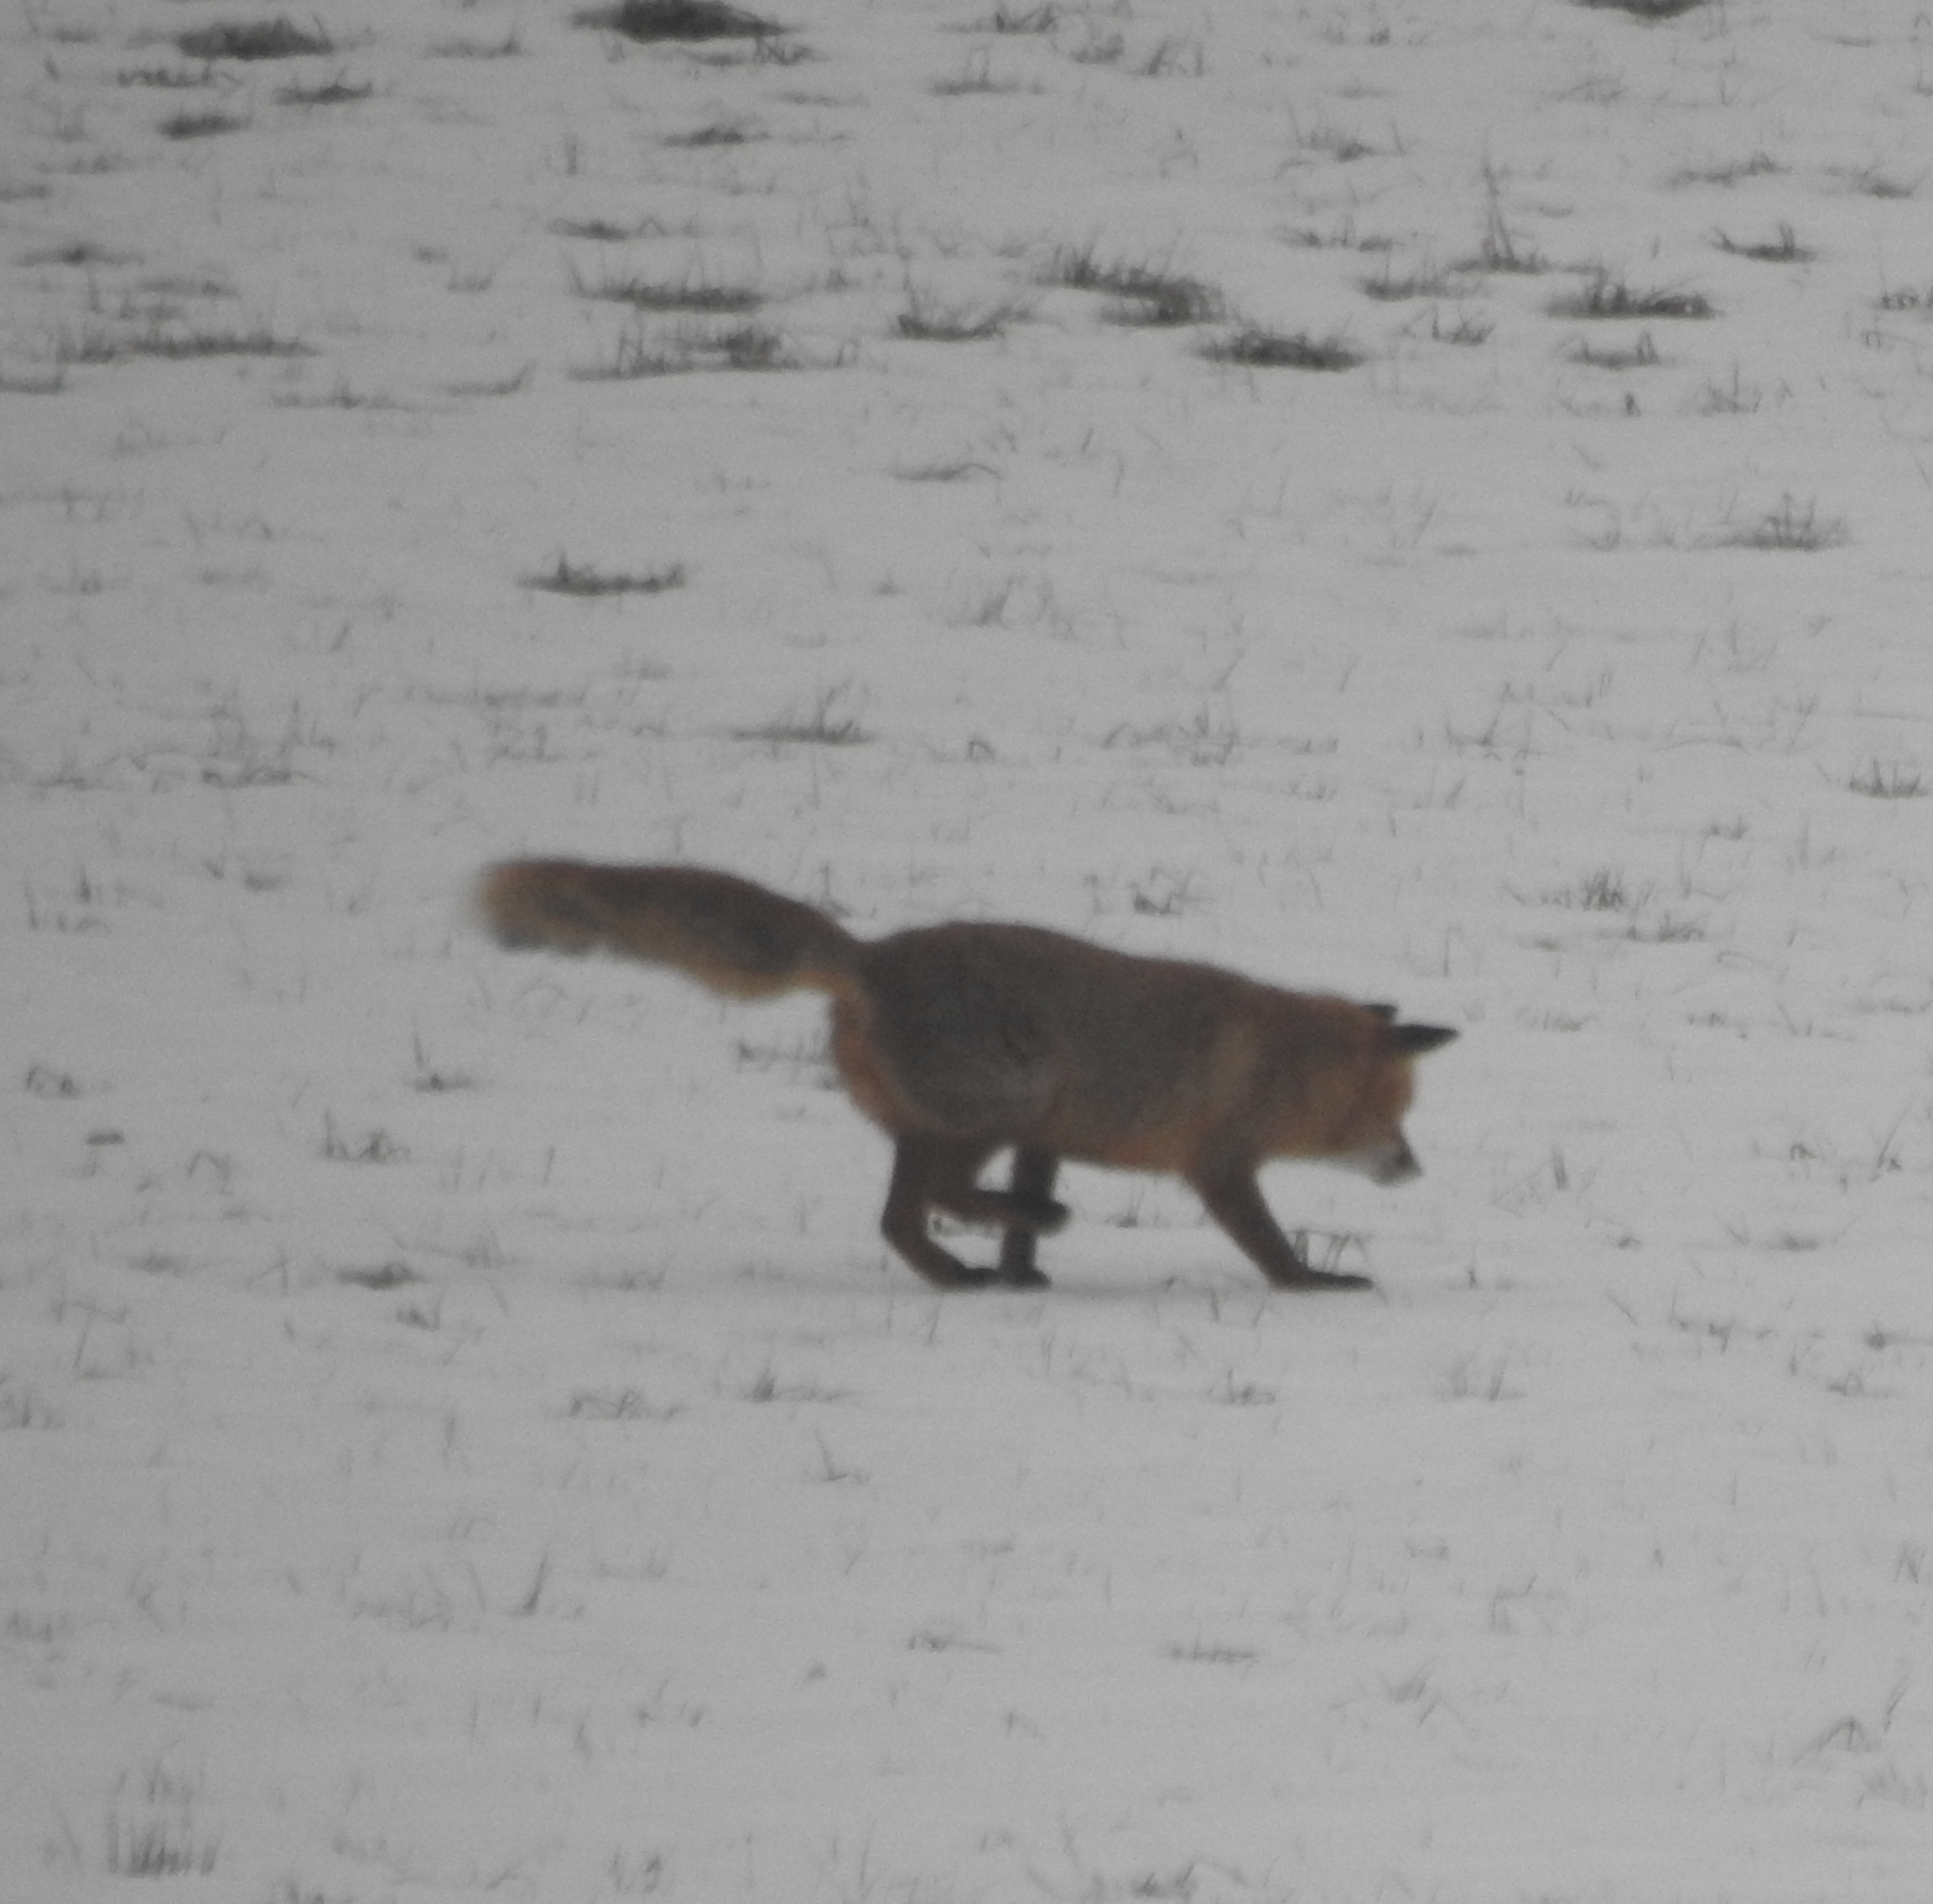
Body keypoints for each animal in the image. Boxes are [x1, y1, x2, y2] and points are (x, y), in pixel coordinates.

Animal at [477, 859, 1455, 1293]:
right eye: (1393, 1116)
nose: (1415, 1168)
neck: (1279, 1061)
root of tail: (869, 958)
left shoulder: (1045, 1138)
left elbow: (1026, 1211)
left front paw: (1022, 1270)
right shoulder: (1217, 1164)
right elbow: (1267, 1242)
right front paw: (1310, 1283)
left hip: (967, 1119)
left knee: (900, 1218)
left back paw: (963, 1270)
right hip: (996, 1103)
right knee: (932, 1200)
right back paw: (998, 1243)